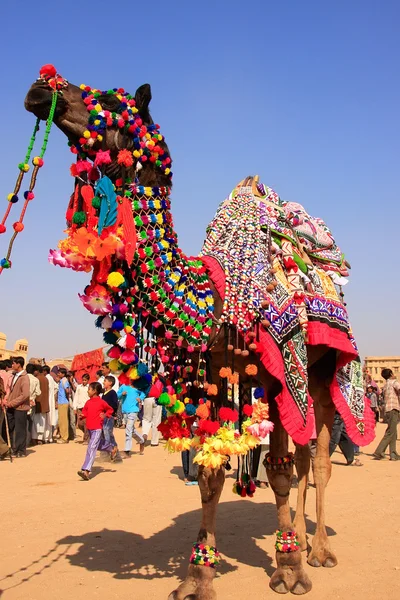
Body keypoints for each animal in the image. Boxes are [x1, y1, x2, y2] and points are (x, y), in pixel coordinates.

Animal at [3, 65, 376, 596]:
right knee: (307, 461)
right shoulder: (217, 371)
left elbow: (280, 472)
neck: (214, 296)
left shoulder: (279, 369)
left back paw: (317, 551)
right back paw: (303, 542)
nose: (41, 87)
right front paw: (198, 576)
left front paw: (287, 570)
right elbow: (210, 474)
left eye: (109, 103)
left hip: (325, 371)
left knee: (317, 460)